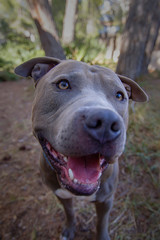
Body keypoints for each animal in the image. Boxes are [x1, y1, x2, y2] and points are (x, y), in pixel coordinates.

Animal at [14, 56, 148, 240]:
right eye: (63, 84)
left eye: (119, 95)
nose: (105, 122)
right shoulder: (61, 195)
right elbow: (69, 212)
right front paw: (69, 230)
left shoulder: (106, 200)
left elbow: (101, 222)